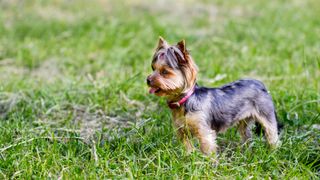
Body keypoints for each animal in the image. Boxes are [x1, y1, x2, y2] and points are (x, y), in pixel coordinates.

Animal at [148, 37, 280, 155]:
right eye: (153, 68)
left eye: (165, 72)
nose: (148, 79)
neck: (184, 100)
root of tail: (260, 84)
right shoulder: (182, 131)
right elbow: (187, 147)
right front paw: (188, 158)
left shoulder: (204, 132)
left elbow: (207, 150)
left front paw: (208, 164)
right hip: (244, 121)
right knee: (246, 135)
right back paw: (246, 151)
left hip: (266, 115)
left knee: (272, 134)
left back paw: (273, 152)